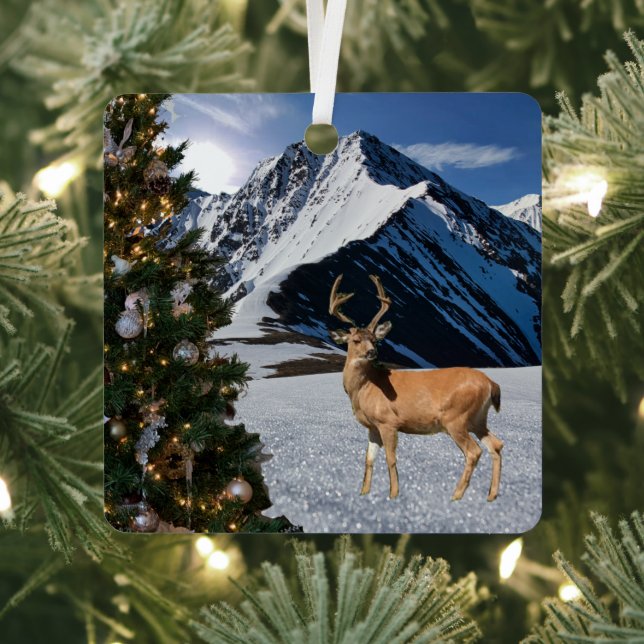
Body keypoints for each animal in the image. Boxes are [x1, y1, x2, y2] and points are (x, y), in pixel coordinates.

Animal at [329, 274, 504, 502]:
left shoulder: (388, 422)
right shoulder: (372, 427)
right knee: (496, 445)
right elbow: (368, 460)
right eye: (356, 340)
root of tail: (491, 383)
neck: (365, 388)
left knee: (474, 452)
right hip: (477, 419)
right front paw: (363, 493)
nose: (372, 353)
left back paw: (455, 496)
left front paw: (393, 495)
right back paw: (491, 496)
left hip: (456, 418)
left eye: (375, 340)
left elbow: (390, 459)